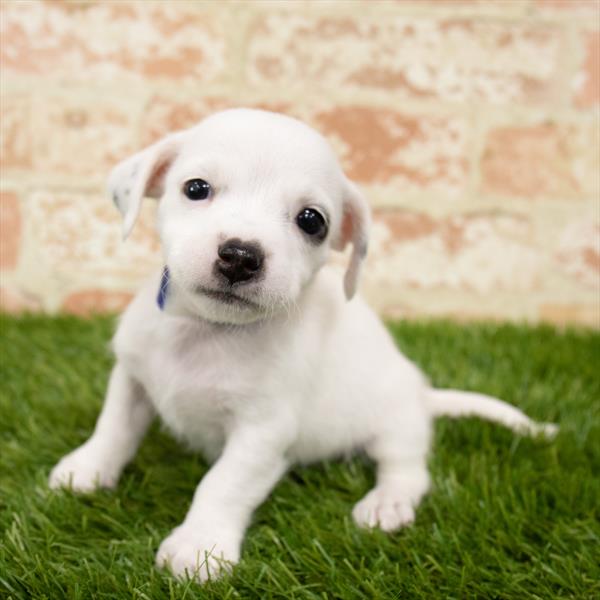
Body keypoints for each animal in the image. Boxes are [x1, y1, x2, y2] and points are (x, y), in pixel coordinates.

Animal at [48, 108, 556, 580]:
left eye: (311, 221)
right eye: (195, 188)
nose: (240, 255)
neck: (206, 331)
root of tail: (423, 395)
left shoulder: (261, 432)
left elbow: (222, 483)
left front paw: (200, 546)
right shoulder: (131, 378)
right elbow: (113, 428)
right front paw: (87, 469)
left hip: (396, 426)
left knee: (408, 470)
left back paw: (387, 503)